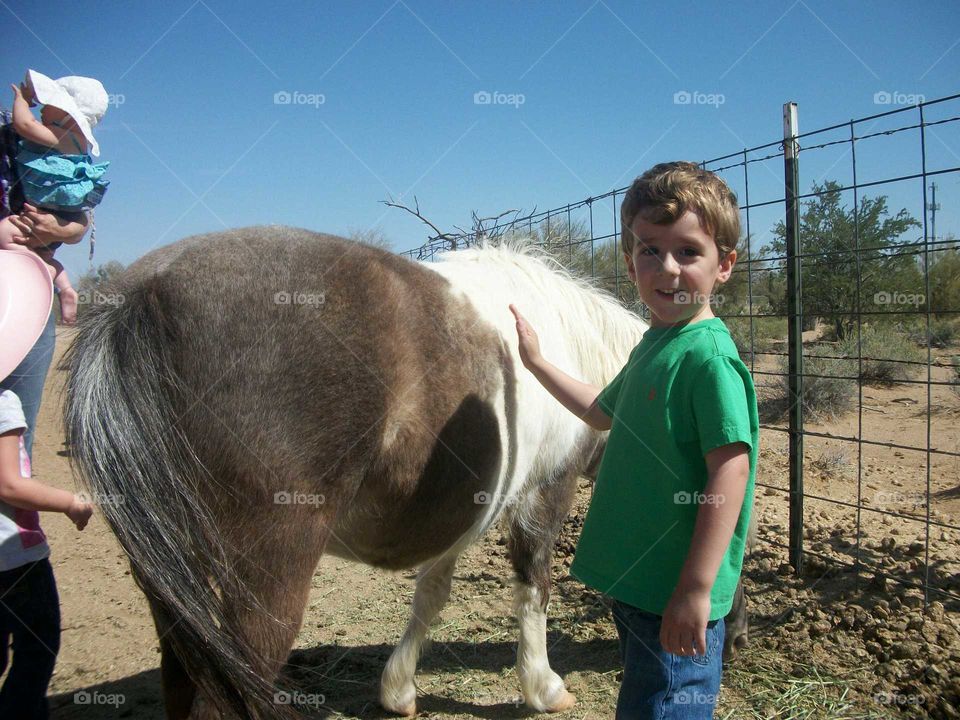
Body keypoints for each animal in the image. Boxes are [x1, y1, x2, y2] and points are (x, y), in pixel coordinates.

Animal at [65, 228, 752, 716]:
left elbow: (433, 591)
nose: (735, 633)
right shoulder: (542, 495)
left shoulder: (467, 505)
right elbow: (533, 587)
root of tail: (140, 297)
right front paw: (543, 687)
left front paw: (397, 690)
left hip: (175, 594)